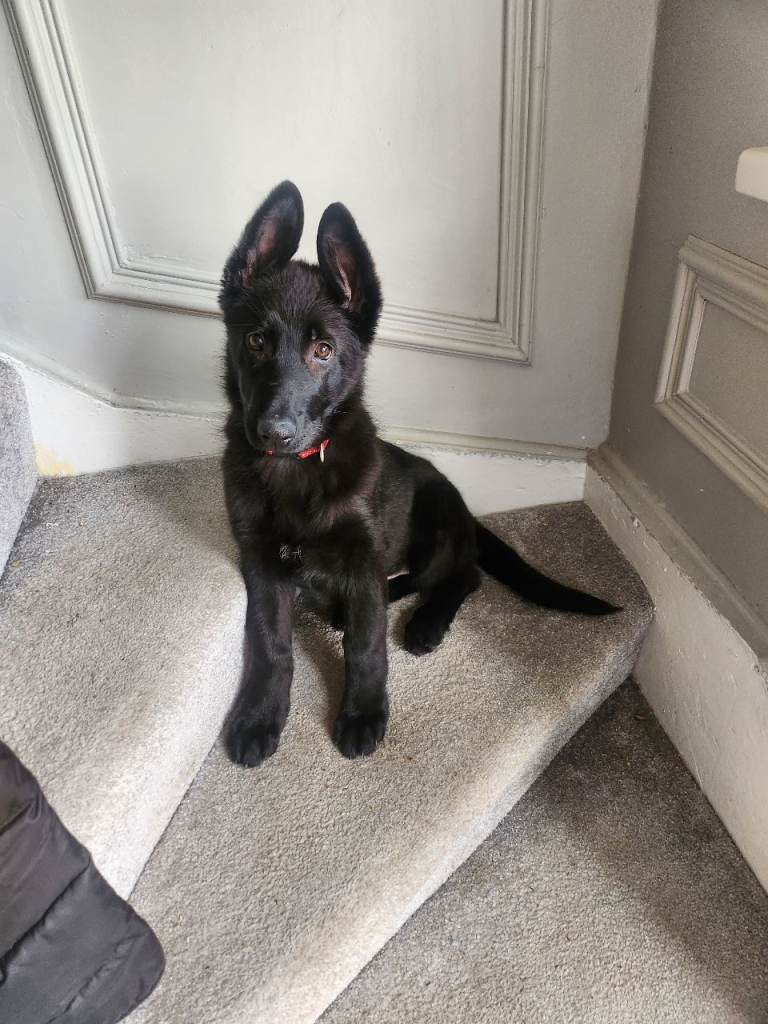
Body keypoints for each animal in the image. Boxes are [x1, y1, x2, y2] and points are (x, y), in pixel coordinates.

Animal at [219, 181, 618, 767]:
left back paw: (426, 622)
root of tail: (467, 513)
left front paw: (362, 712)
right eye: (255, 342)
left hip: (433, 531)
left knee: (462, 576)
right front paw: (259, 716)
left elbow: (366, 644)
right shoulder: (262, 561)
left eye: (323, 350)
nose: (274, 433)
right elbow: (271, 644)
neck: (298, 475)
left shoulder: (363, 558)